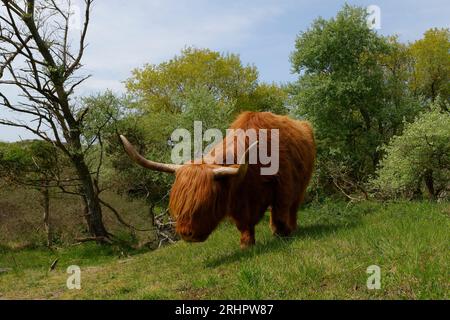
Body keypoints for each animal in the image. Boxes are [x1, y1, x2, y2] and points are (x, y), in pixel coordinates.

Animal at [120, 111, 316, 249]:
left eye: (205, 203)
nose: (185, 233)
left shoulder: (283, 188)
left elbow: (280, 213)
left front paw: (283, 234)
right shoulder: (238, 200)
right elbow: (244, 224)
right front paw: (246, 244)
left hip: (302, 184)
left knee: (293, 208)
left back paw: (292, 228)